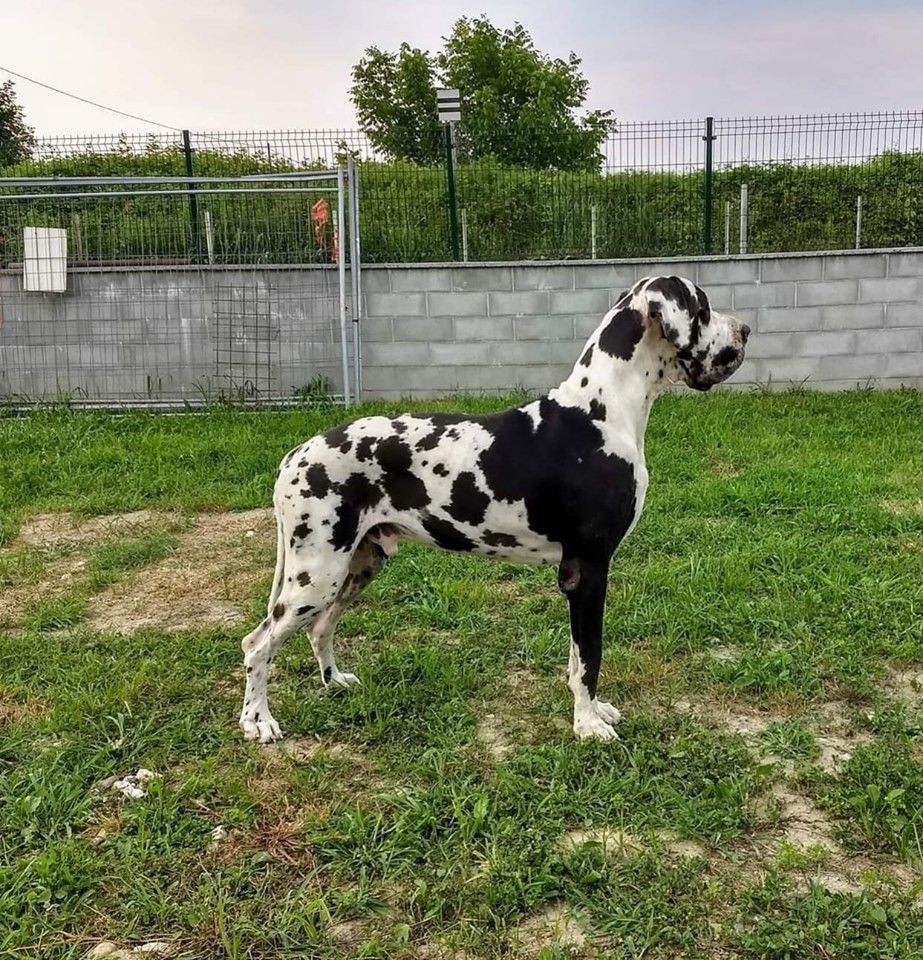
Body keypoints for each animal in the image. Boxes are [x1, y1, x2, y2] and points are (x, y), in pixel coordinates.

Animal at [239, 276, 749, 743]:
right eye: (703, 308)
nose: (745, 329)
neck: (602, 412)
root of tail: (293, 456)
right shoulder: (588, 569)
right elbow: (590, 657)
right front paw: (587, 725)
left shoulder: (578, 573)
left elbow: (575, 658)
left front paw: (592, 711)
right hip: (317, 572)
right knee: (258, 643)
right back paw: (257, 721)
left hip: (359, 564)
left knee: (319, 628)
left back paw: (335, 682)